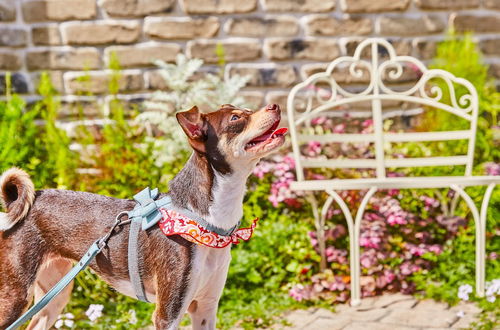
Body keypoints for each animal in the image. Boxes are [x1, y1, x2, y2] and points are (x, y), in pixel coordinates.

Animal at [0, 104, 288, 330]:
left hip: (54, 295)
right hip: (15, 296)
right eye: (236, 119)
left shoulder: (206, 308)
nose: (275, 105)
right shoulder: (168, 314)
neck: (204, 222)